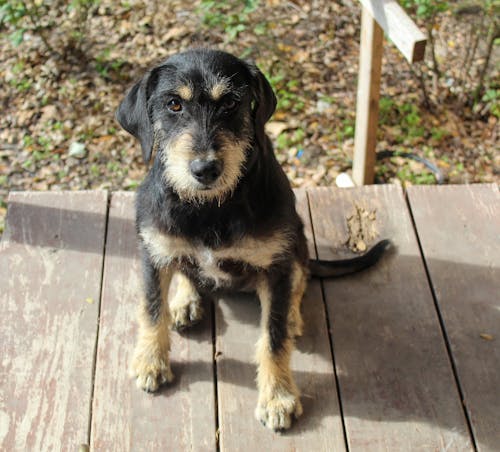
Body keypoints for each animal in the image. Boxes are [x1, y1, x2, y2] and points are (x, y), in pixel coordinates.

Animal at [115, 48, 388, 430]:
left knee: (301, 278)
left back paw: (291, 315)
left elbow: (273, 338)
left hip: (297, 239)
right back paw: (186, 301)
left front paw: (278, 397)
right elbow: (151, 309)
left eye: (231, 102)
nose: (205, 170)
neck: (211, 207)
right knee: (185, 270)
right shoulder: (153, 253)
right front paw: (151, 362)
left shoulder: (275, 267)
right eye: (173, 104)